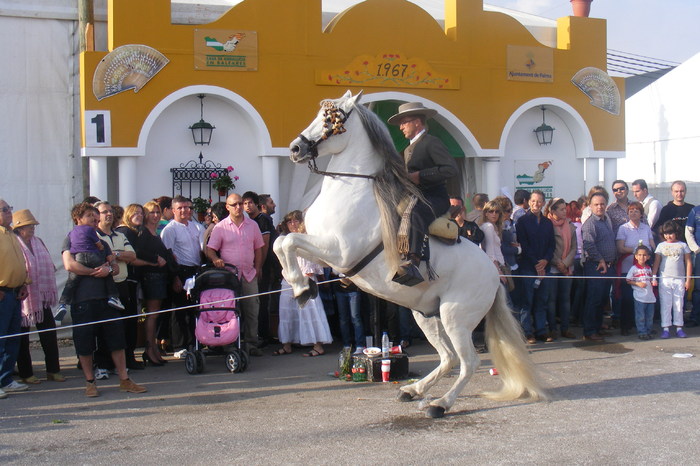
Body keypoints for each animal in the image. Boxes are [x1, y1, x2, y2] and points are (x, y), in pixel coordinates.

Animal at [274, 91, 548, 418]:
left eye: (332, 117)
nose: (295, 148)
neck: (353, 192)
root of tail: (495, 276)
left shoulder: (339, 251)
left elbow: (288, 241)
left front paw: (302, 288)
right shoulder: (323, 254)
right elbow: (282, 242)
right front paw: (302, 285)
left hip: (455, 316)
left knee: (468, 362)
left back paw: (440, 404)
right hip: (426, 315)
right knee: (448, 358)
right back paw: (413, 390)